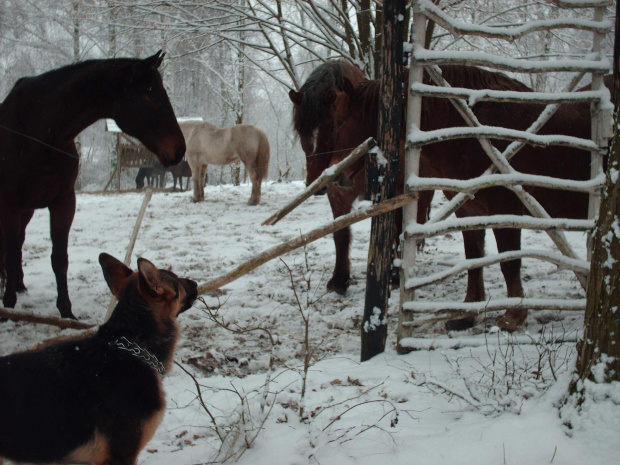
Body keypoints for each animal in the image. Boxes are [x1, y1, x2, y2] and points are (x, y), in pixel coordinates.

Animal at [0, 51, 185, 320]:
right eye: (151, 93)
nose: (179, 149)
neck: (39, 132)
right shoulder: (10, 205)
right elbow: (12, 254)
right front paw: (9, 304)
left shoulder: (63, 203)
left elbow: (59, 258)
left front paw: (66, 310)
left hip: (28, 211)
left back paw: (19, 285)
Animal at [294, 60, 604, 330]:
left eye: (339, 122)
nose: (331, 178)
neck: (475, 132)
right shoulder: (469, 210)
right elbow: (474, 260)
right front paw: (467, 314)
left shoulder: (506, 211)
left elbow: (509, 263)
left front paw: (513, 317)